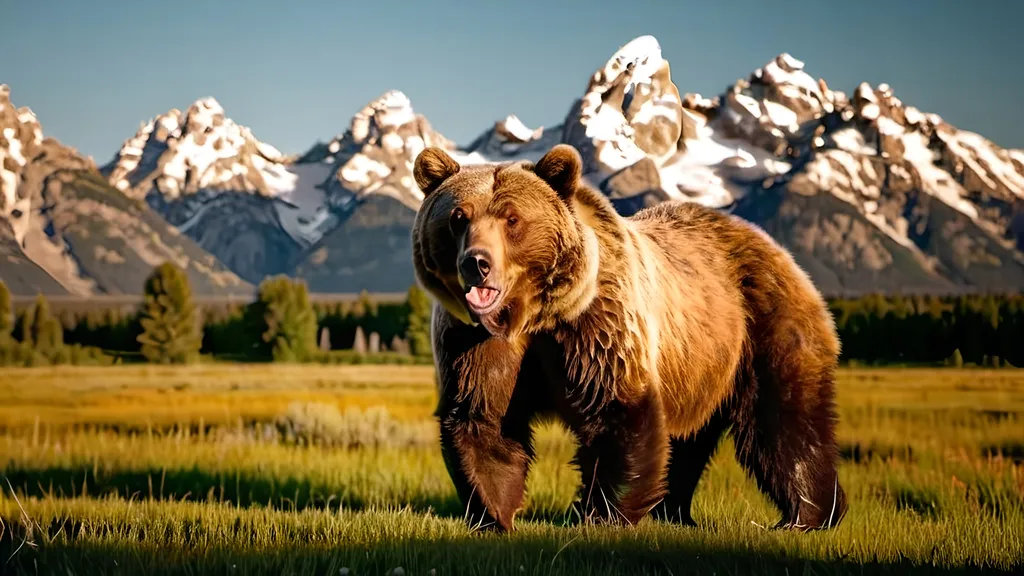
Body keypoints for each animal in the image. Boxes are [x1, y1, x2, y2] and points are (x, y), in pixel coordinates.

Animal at [407, 142, 847, 528]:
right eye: (458, 217)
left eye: (512, 218)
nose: (476, 263)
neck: (532, 314)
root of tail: (775, 247)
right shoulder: (476, 340)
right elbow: (482, 416)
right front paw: (494, 514)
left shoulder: (597, 323)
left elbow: (616, 409)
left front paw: (601, 514)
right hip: (699, 362)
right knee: (688, 442)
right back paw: (676, 513)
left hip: (762, 323)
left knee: (784, 422)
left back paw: (808, 515)